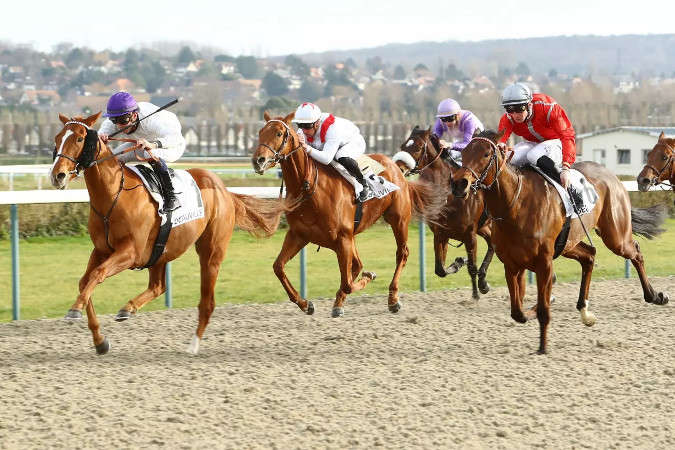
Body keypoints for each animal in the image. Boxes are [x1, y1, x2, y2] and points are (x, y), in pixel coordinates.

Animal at [50, 112, 285, 355]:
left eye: (79, 139)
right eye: (58, 138)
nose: (58, 175)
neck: (113, 196)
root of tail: (225, 190)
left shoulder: (130, 252)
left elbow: (97, 274)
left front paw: (74, 309)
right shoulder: (102, 250)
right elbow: (84, 282)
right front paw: (100, 341)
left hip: (211, 251)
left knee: (207, 301)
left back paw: (193, 344)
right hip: (161, 251)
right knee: (158, 286)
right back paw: (128, 308)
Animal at [251, 112, 447, 317]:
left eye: (279, 133)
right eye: (261, 132)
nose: (258, 160)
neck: (309, 187)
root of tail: (396, 166)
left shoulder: (342, 238)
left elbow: (347, 283)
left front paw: (368, 277)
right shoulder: (299, 235)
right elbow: (278, 267)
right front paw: (305, 304)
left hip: (398, 220)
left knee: (402, 253)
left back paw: (393, 298)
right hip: (353, 235)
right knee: (357, 264)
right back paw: (340, 302)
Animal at [393, 126, 494, 300]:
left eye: (418, 148)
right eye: (403, 145)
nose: (398, 168)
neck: (450, 197)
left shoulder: (470, 235)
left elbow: (472, 267)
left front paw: (475, 294)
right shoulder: (441, 233)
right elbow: (440, 269)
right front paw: (460, 261)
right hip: (484, 228)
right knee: (492, 245)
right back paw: (483, 282)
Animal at [450, 130, 669, 354]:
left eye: (486, 154)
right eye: (464, 152)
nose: (459, 183)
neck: (516, 204)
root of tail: (613, 177)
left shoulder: (544, 263)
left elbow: (542, 309)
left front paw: (542, 346)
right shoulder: (512, 263)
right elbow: (517, 312)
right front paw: (533, 309)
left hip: (616, 237)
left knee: (635, 252)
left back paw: (654, 296)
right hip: (568, 244)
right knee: (589, 255)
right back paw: (585, 311)